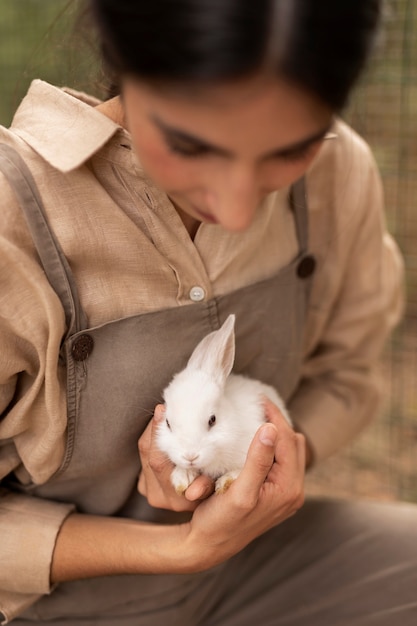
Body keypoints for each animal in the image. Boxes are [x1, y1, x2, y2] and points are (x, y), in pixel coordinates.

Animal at [156, 312, 292, 492]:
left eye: (212, 420)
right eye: (167, 423)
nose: (190, 456)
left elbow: (239, 470)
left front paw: (225, 482)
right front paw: (182, 477)